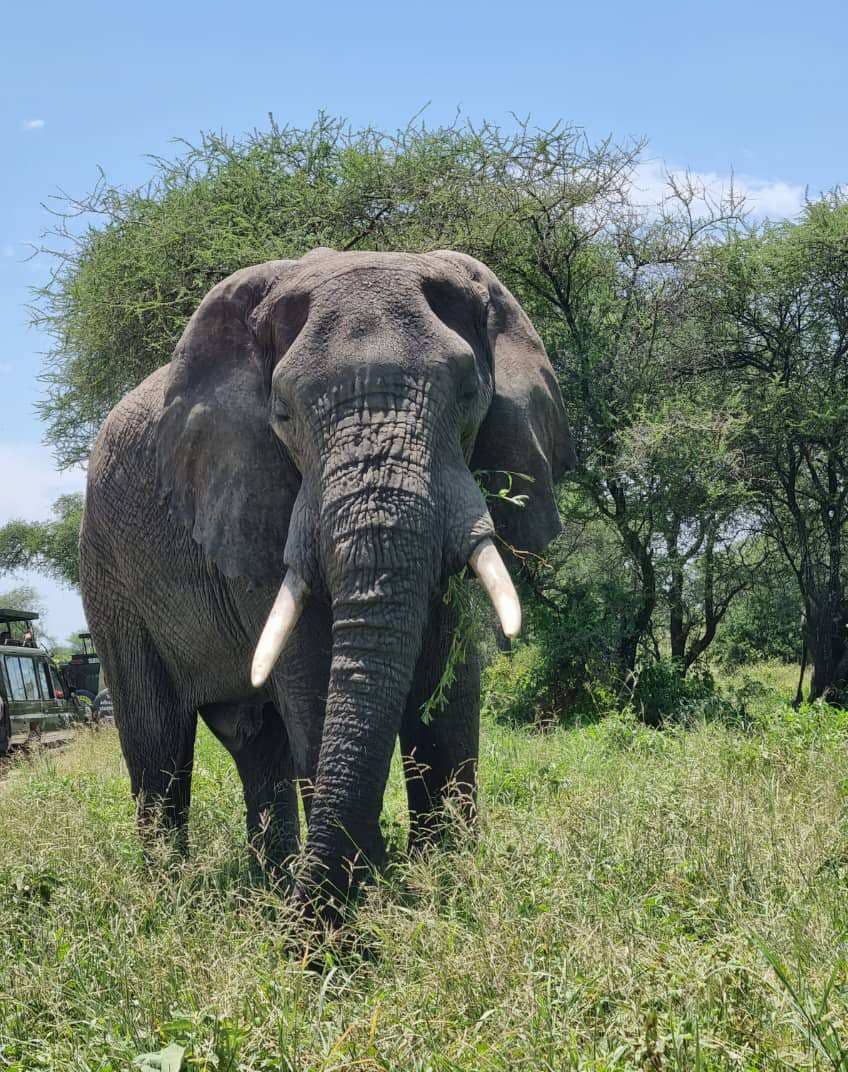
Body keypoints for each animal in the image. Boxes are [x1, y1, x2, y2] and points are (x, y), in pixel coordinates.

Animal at [79, 246, 574, 917]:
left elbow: (447, 670)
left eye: (471, 393)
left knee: (255, 743)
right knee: (157, 742)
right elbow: (311, 668)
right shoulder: (250, 500)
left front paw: (442, 878)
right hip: (108, 574)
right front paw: (371, 889)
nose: (303, 929)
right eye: (283, 415)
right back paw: (174, 893)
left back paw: (272, 879)